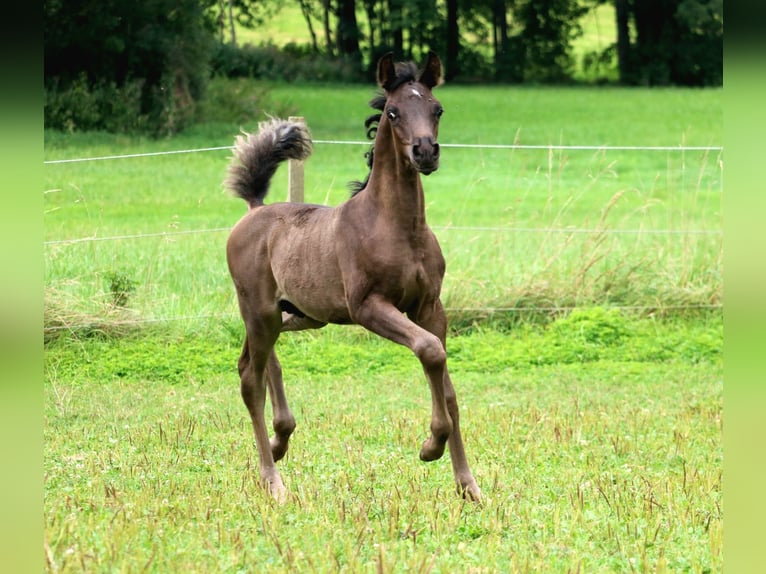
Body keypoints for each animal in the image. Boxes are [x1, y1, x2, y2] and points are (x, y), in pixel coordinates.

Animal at [225, 54, 484, 504]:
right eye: (393, 112)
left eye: (437, 109)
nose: (425, 152)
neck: (397, 227)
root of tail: (254, 210)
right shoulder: (368, 307)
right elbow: (430, 351)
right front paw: (430, 447)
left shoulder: (430, 307)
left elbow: (447, 384)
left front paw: (468, 485)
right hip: (259, 310)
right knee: (249, 381)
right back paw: (273, 480)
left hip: (294, 316)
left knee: (260, 361)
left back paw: (280, 440)